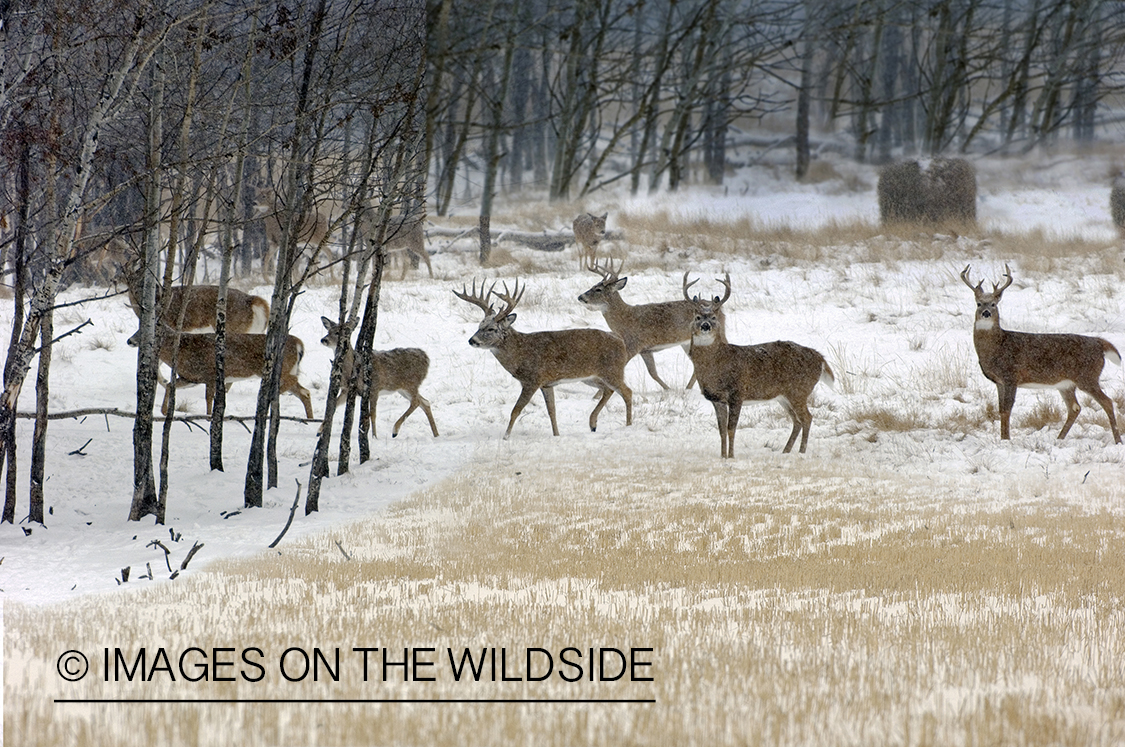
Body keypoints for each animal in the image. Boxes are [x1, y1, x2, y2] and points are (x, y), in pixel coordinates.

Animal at [127, 325, 314, 419]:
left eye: (146, 330)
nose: (129, 340)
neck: (182, 349)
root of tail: (300, 344)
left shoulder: (210, 374)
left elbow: (209, 398)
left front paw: (209, 416)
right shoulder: (190, 377)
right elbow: (169, 385)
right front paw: (165, 411)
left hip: (283, 369)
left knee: (294, 384)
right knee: (305, 392)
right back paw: (310, 419)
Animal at [453, 279, 633, 439]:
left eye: (491, 328)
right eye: (479, 326)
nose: (472, 340)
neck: (520, 353)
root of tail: (620, 340)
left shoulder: (532, 380)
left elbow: (516, 410)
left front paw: (506, 437)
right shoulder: (547, 383)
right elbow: (551, 411)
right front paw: (556, 435)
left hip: (612, 370)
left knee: (627, 391)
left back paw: (628, 425)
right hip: (591, 377)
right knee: (608, 390)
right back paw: (593, 424)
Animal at [578, 258, 723, 390]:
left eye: (598, 289)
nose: (580, 297)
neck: (625, 320)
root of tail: (718, 307)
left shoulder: (635, 343)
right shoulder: (645, 349)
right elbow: (653, 373)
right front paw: (668, 389)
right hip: (687, 342)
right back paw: (688, 388)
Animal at [684, 273, 834, 458]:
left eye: (713, 317)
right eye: (697, 317)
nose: (706, 326)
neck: (717, 366)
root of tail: (820, 359)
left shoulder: (737, 393)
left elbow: (731, 429)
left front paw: (731, 456)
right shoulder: (717, 399)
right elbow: (721, 431)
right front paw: (722, 456)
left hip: (799, 390)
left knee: (807, 418)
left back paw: (801, 452)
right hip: (783, 396)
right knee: (797, 421)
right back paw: (785, 451)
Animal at [960, 265, 1121, 444]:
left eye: (994, 304)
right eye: (978, 304)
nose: (986, 313)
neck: (997, 347)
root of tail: (1100, 343)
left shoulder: (1011, 376)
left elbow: (1008, 409)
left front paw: (1006, 440)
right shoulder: (999, 381)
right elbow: (1001, 409)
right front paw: (1003, 439)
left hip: (1088, 377)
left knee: (1107, 402)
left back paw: (1117, 440)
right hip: (1066, 384)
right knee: (1075, 407)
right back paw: (1059, 439)